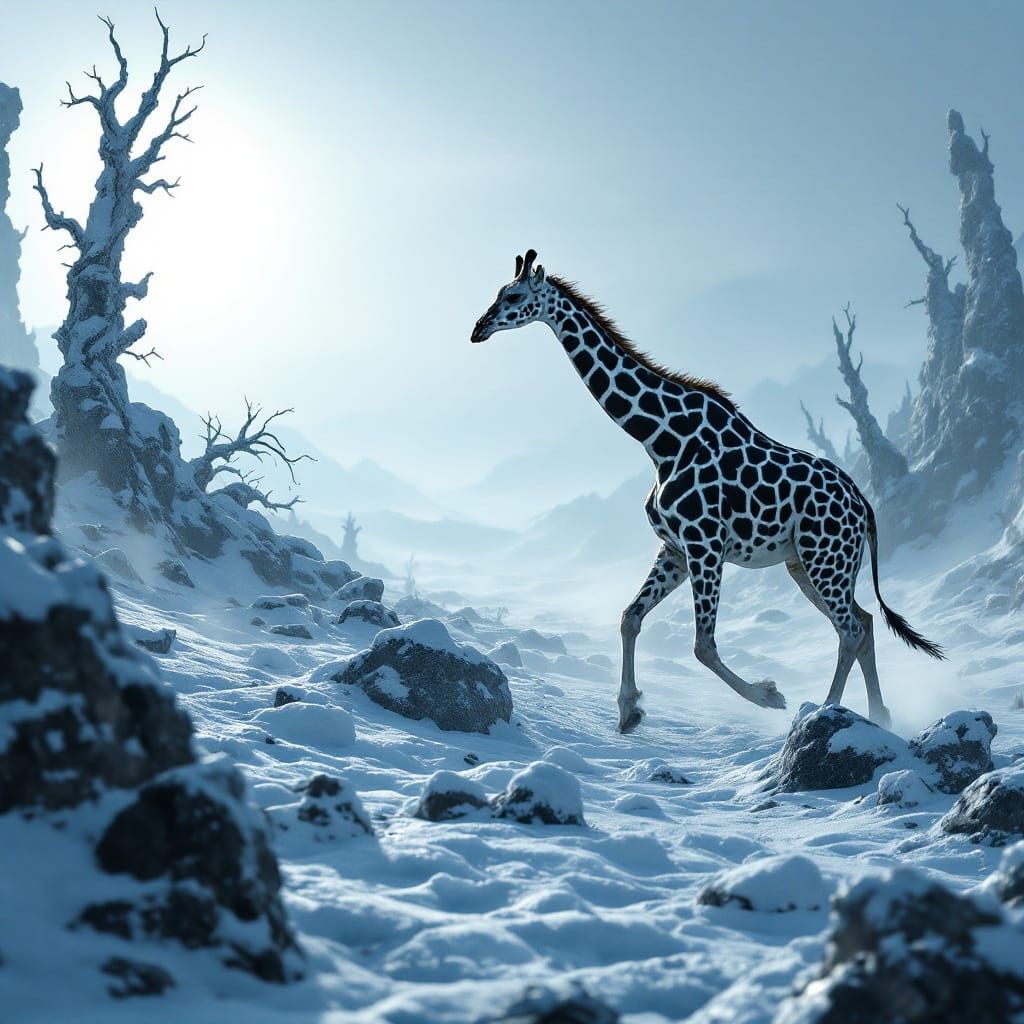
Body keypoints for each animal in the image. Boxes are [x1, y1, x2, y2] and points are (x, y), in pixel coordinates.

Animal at [471, 250, 945, 733]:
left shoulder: (705, 544)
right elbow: (630, 617)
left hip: (825, 557)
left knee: (849, 627)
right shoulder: (676, 549)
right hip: (808, 563)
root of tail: (864, 506)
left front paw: (768, 695)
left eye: (514, 296)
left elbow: (702, 644)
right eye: (498, 293)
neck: (659, 439)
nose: (478, 329)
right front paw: (628, 711)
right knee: (863, 622)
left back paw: (825, 710)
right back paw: (879, 715)